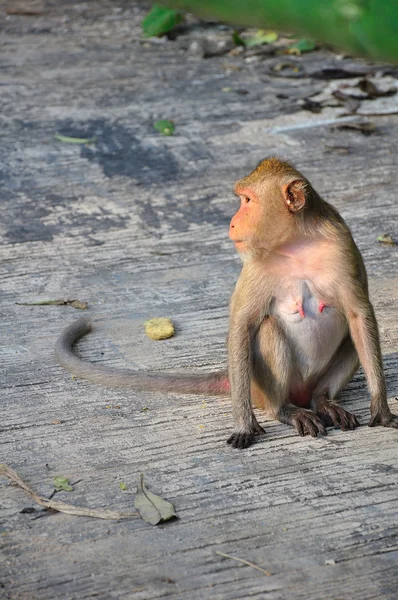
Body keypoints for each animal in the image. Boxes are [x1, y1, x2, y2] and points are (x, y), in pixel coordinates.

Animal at [54, 157, 396, 448]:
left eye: (247, 201)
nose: (232, 222)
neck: (296, 243)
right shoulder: (256, 263)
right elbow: (242, 325)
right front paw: (244, 424)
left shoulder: (341, 243)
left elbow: (360, 315)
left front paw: (381, 409)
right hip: (260, 386)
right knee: (269, 331)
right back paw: (285, 410)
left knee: (353, 335)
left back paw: (323, 401)